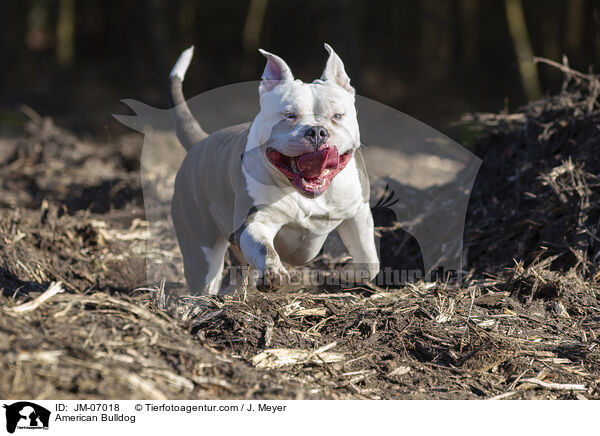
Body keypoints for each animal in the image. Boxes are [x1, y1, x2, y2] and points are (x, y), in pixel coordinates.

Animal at [166, 44, 378, 294]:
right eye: (289, 115)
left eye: (337, 116)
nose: (317, 131)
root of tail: (200, 141)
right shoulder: (254, 223)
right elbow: (264, 248)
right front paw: (272, 272)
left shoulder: (357, 210)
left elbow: (370, 260)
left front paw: (348, 273)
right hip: (200, 245)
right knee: (205, 279)